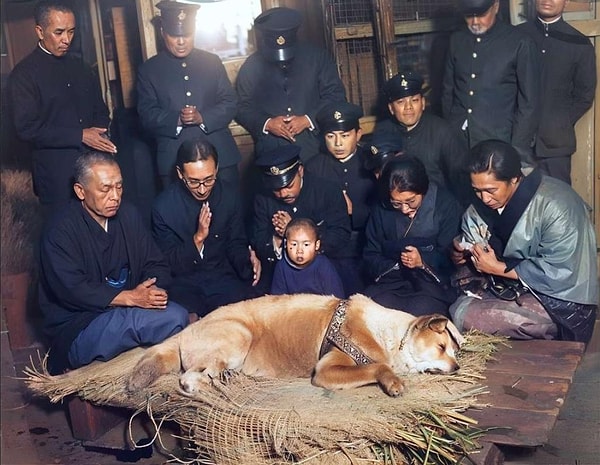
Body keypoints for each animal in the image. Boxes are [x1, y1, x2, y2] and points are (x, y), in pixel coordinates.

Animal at [126, 294, 464, 396]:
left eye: (452, 349)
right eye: (440, 347)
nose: (457, 367)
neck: (391, 336)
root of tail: (187, 330)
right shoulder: (327, 370)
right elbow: (377, 366)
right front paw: (392, 381)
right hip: (238, 335)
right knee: (187, 378)